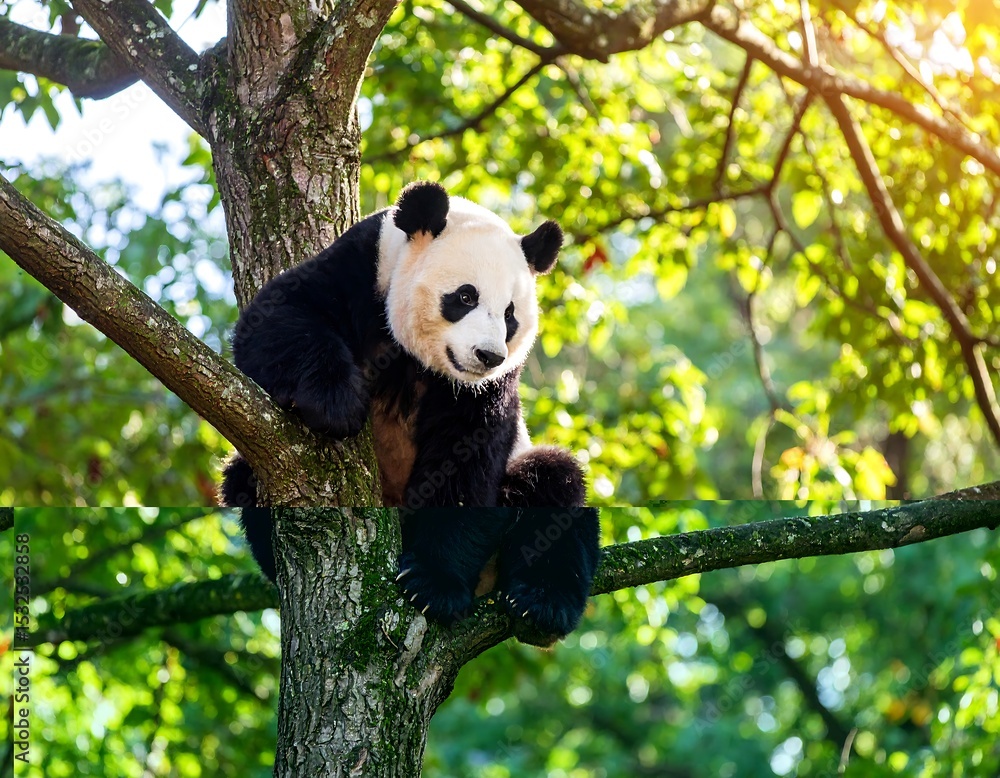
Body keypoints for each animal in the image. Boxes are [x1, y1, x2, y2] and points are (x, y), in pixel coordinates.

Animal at [220, 181, 600, 638]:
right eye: (465, 296)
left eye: (510, 315)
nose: (488, 356)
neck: (420, 360)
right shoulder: (361, 271)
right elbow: (276, 320)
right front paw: (336, 404)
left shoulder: (489, 389)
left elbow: (467, 460)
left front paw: (434, 585)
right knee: (240, 477)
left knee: (555, 485)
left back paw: (542, 603)